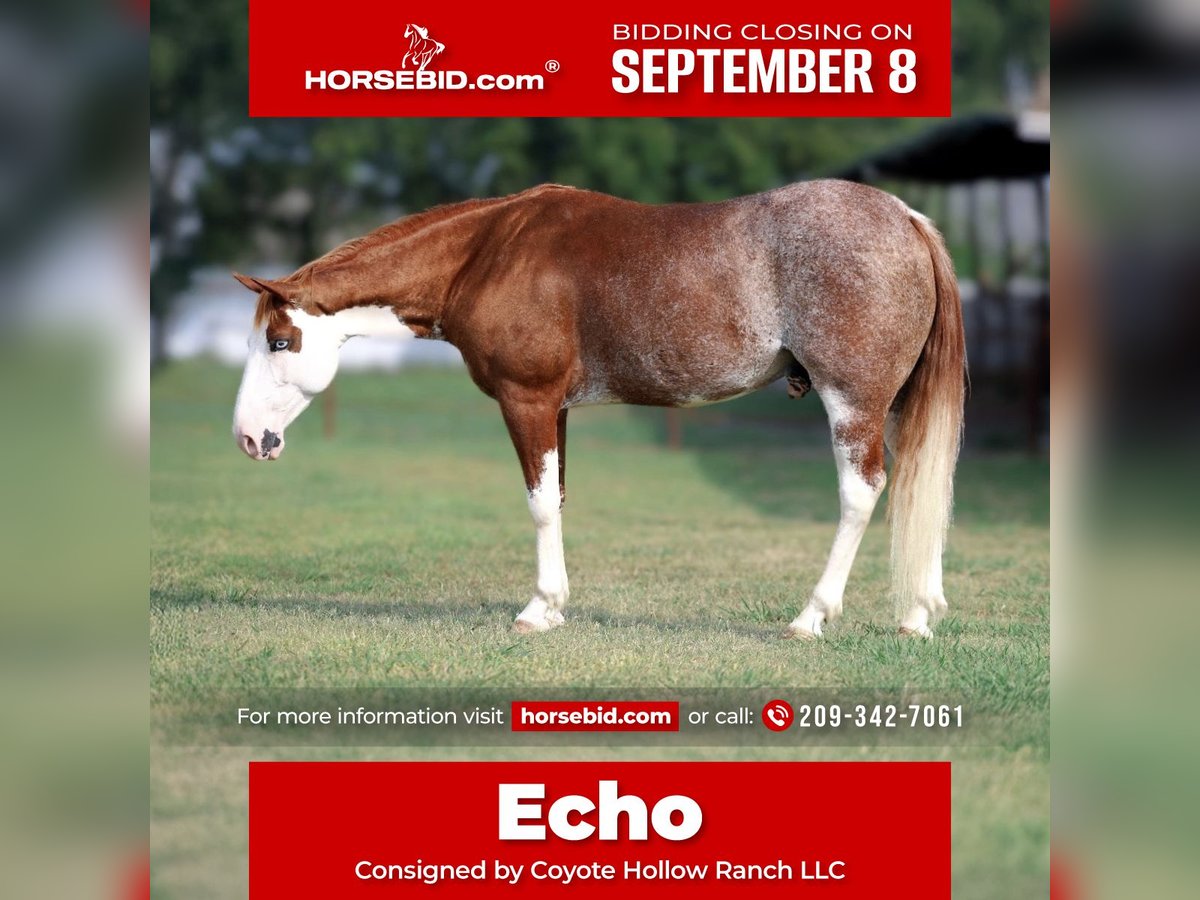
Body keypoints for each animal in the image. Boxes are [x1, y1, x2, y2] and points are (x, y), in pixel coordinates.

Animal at [231, 181, 966, 638]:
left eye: (279, 341)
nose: (248, 436)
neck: (487, 253)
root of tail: (907, 219)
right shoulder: (554, 407)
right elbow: (554, 497)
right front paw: (554, 606)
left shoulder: (526, 400)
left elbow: (536, 502)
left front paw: (539, 609)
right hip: (894, 405)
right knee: (919, 483)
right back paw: (917, 616)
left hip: (852, 403)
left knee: (861, 493)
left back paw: (812, 616)